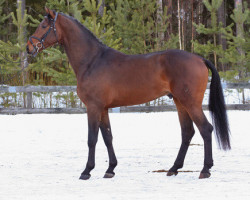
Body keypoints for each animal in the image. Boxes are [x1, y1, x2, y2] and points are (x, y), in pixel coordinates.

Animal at [25, 7, 230, 180]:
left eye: (43, 26)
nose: (29, 47)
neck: (92, 61)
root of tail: (200, 59)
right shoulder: (103, 108)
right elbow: (107, 137)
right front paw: (110, 169)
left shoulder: (93, 107)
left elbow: (92, 139)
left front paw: (87, 171)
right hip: (180, 102)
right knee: (187, 132)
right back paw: (173, 168)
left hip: (191, 103)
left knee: (205, 129)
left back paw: (205, 170)